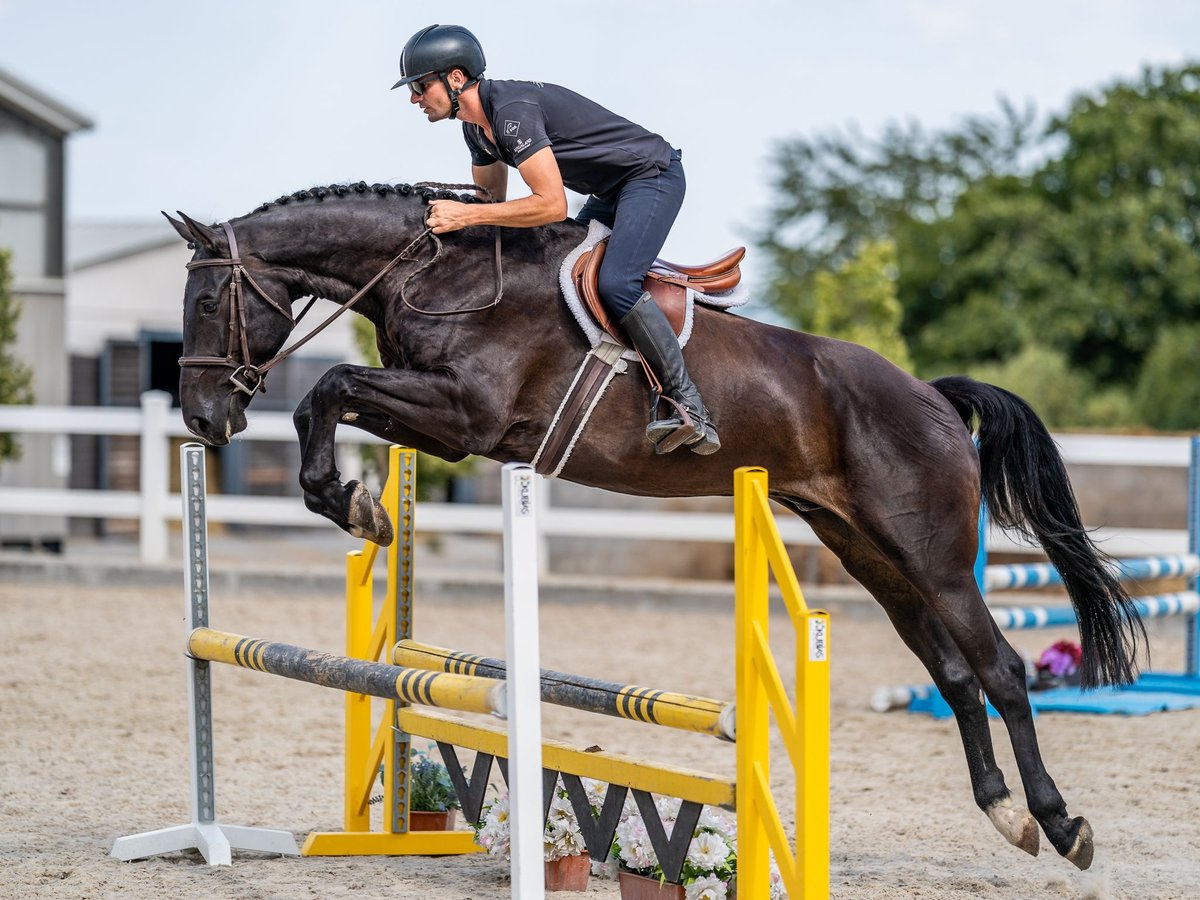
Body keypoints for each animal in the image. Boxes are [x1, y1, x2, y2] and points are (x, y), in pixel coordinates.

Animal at [166, 181, 1142, 873]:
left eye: (209, 306)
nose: (205, 421)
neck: (437, 274)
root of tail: (932, 396)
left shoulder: (465, 416)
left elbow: (328, 388)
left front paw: (351, 502)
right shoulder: (439, 423)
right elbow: (326, 404)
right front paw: (357, 505)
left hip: (930, 558)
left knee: (1002, 668)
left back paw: (1061, 824)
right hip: (870, 553)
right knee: (955, 673)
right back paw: (1005, 813)